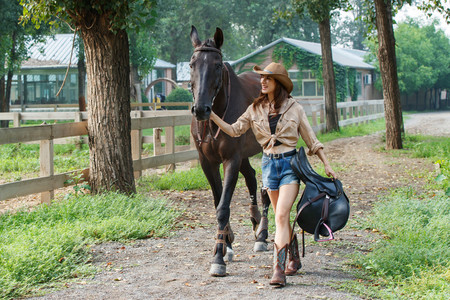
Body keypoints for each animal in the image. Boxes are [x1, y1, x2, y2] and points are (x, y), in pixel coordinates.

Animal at [189, 26, 270, 276]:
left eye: (217, 64)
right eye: (192, 64)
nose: (201, 109)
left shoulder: (231, 159)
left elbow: (223, 208)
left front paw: (218, 258)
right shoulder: (207, 162)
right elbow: (218, 201)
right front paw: (226, 244)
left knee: (266, 189)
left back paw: (262, 234)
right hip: (244, 156)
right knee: (252, 178)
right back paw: (256, 226)